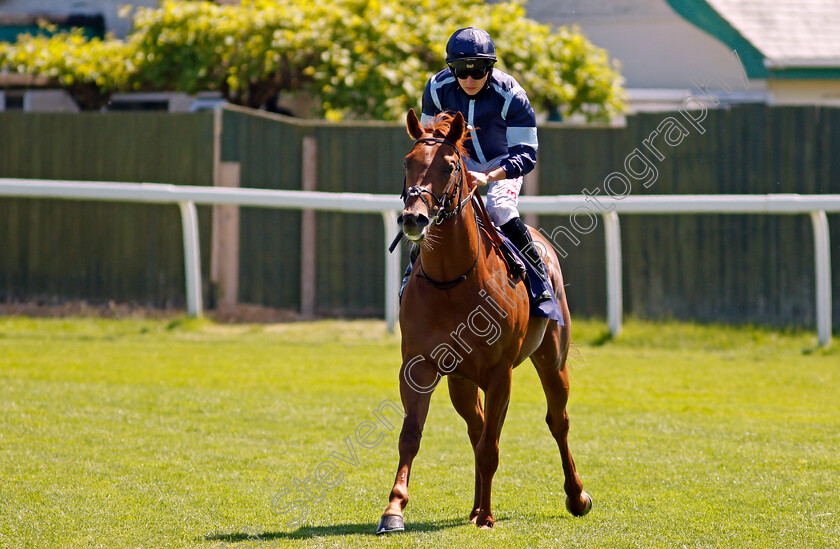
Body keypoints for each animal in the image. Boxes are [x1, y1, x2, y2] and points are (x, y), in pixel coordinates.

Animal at [378, 109, 592, 532]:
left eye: (449, 166)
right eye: (408, 162)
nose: (413, 218)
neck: (451, 282)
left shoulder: (498, 372)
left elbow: (491, 444)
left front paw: (488, 517)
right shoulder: (420, 365)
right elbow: (411, 434)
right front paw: (394, 509)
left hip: (551, 359)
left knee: (557, 421)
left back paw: (576, 497)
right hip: (461, 381)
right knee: (476, 429)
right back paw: (476, 506)